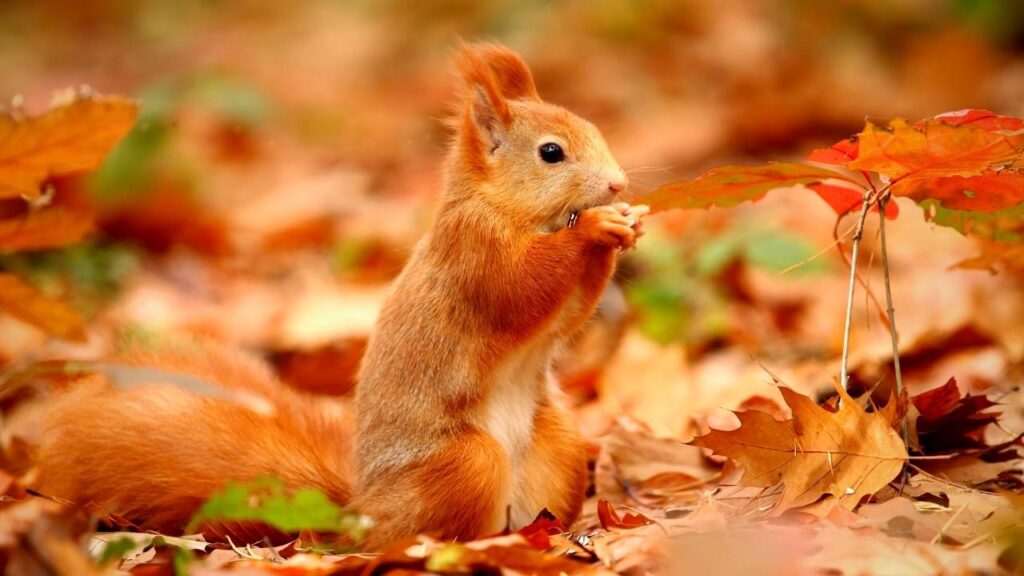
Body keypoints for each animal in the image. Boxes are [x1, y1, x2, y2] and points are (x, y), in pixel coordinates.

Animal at [34, 43, 647, 545]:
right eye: (551, 153)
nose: (617, 183)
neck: (511, 211)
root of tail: (361, 514)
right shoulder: (472, 252)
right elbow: (520, 290)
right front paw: (595, 230)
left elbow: (566, 316)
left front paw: (623, 229)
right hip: (468, 464)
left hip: (561, 446)